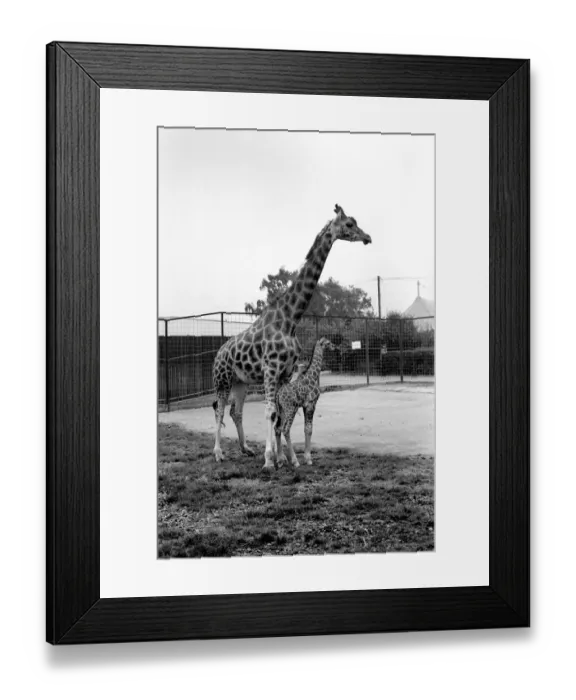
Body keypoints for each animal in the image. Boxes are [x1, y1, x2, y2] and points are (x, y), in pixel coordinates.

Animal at [273, 337, 337, 468]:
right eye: (328, 343)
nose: (335, 347)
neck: (313, 376)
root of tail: (278, 395)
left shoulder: (304, 406)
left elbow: (305, 429)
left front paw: (306, 457)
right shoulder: (311, 404)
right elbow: (309, 429)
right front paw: (308, 459)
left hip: (281, 410)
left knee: (277, 428)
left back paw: (280, 460)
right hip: (291, 409)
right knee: (285, 429)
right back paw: (294, 461)